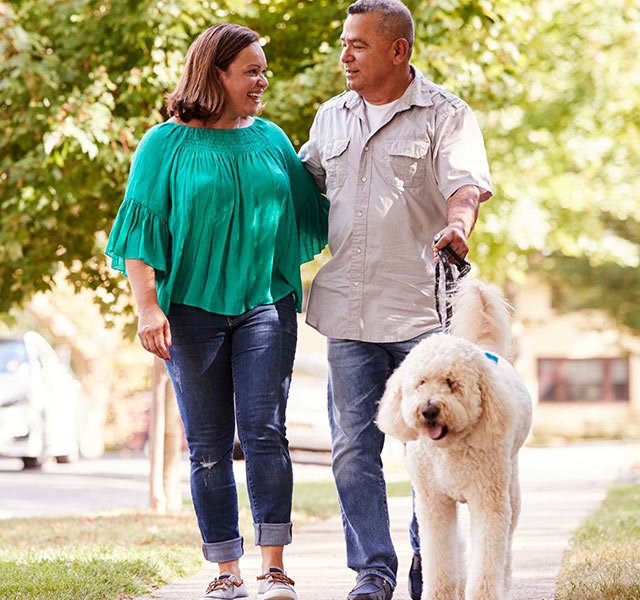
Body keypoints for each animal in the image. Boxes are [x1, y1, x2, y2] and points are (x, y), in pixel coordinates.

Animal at [378, 278, 532, 596]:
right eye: (420, 383)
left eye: (451, 383)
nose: (428, 410)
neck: (450, 448)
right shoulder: (434, 505)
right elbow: (439, 559)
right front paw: (439, 593)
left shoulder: (488, 502)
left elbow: (486, 562)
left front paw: (485, 595)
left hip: (510, 488)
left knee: (506, 547)